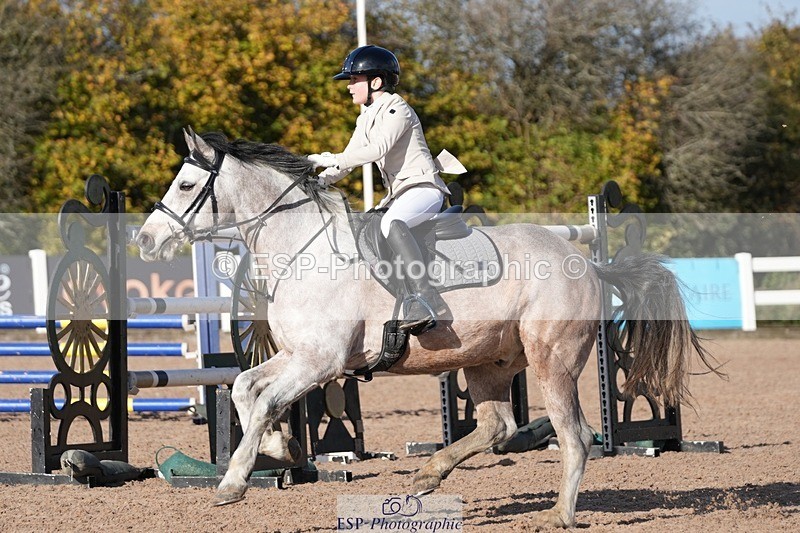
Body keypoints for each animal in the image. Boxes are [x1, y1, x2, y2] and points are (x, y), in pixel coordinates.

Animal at [136, 128, 716, 527]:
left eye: (186, 183)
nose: (144, 240)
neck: (305, 248)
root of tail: (589, 264)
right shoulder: (300, 356)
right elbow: (243, 388)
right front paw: (282, 452)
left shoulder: (319, 361)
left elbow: (262, 402)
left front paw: (234, 481)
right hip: (488, 362)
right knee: (497, 427)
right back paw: (427, 474)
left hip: (552, 363)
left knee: (576, 436)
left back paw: (559, 514)